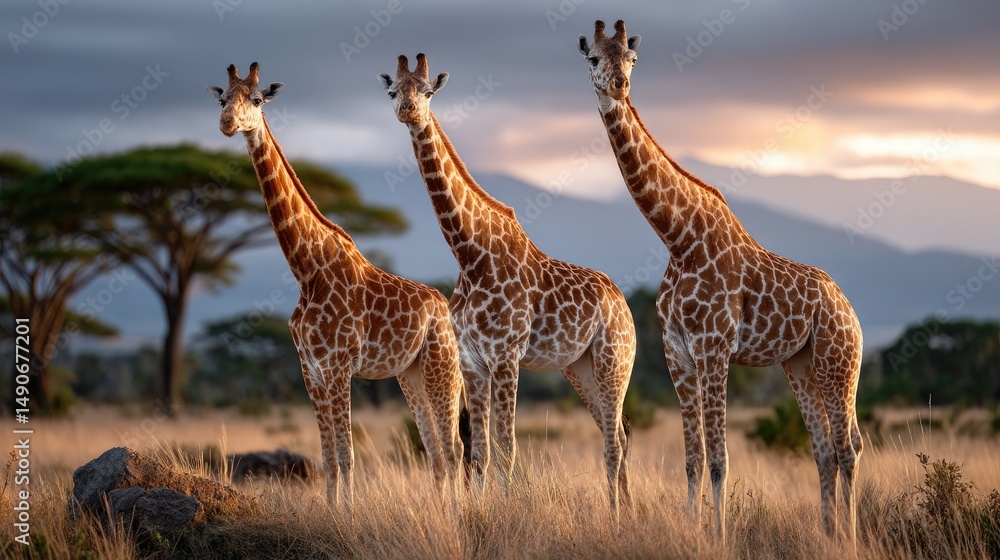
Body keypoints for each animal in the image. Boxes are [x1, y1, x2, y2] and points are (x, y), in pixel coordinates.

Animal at [208, 62, 465, 507]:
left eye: (256, 100)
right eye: (222, 98)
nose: (227, 123)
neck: (307, 270)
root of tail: (447, 309)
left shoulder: (339, 365)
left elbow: (346, 454)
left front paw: (348, 513)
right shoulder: (309, 368)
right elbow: (327, 456)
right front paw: (332, 511)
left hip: (441, 366)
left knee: (454, 447)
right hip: (410, 374)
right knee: (435, 450)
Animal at [378, 53, 637, 519]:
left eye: (427, 91)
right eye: (392, 91)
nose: (408, 111)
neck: (470, 254)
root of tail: (621, 302)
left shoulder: (506, 356)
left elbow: (507, 447)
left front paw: (509, 513)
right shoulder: (472, 362)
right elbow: (479, 452)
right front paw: (477, 513)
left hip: (615, 359)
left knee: (613, 437)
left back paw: (617, 515)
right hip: (579, 367)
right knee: (619, 432)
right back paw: (625, 510)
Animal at [578, 21, 864, 544]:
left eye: (632, 59)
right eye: (594, 59)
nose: (619, 87)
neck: (678, 237)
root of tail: (849, 308)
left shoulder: (713, 347)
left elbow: (719, 460)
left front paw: (720, 537)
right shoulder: (677, 351)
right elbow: (692, 459)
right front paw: (693, 530)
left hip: (839, 359)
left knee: (848, 445)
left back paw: (850, 538)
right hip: (800, 364)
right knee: (824, 449)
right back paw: (827, 535)